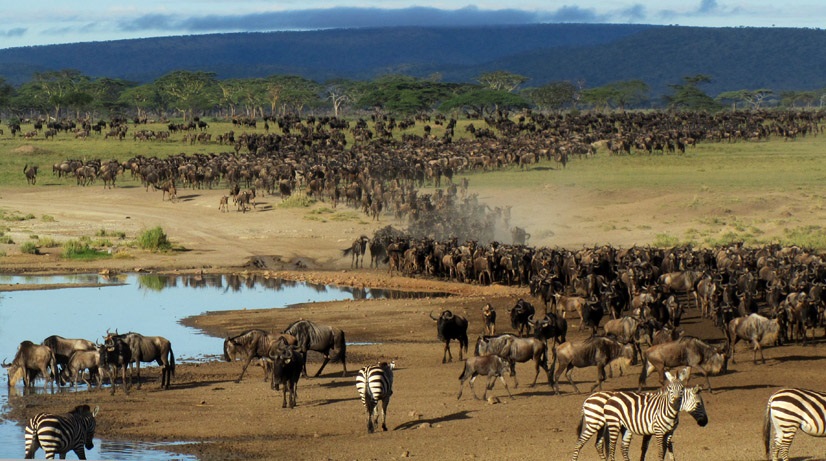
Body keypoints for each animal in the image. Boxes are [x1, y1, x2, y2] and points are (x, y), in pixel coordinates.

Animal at [568, 384, 704, 460]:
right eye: (699, 404)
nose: (705, 422)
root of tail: (587, 399)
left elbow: (665, 447)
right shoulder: (654, 429)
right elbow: (653, 448)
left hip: (601, 425)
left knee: (598, 444)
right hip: (594, 423)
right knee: (579, 443)